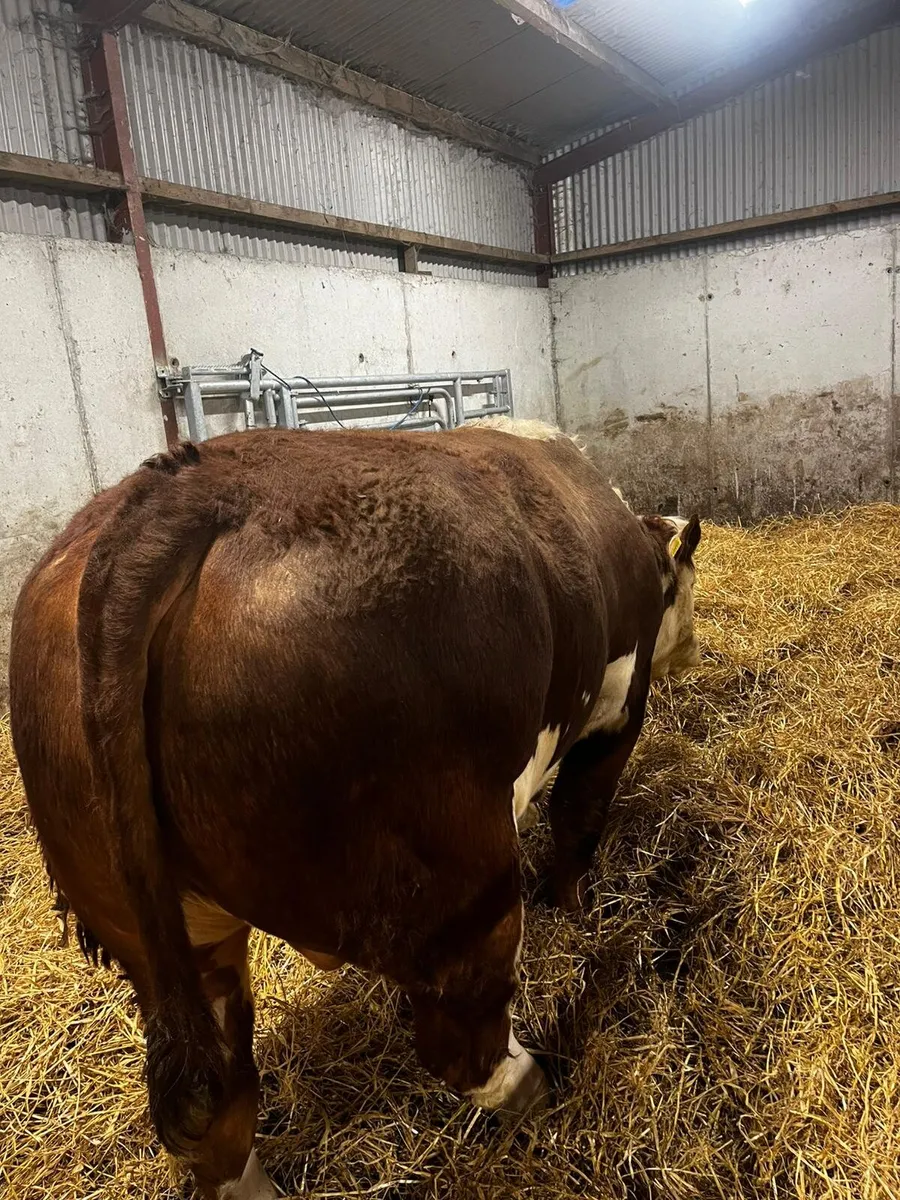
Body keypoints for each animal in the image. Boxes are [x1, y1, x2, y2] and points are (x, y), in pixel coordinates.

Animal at [8, 418, 701, 1200]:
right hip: (459, 887)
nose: (692, 647)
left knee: (216, 1107)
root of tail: (179, 491)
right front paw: (578, 909)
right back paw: (537, 1089)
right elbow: (579, 824)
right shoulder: (617, 710)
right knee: (464, 1039)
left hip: (154, 931)